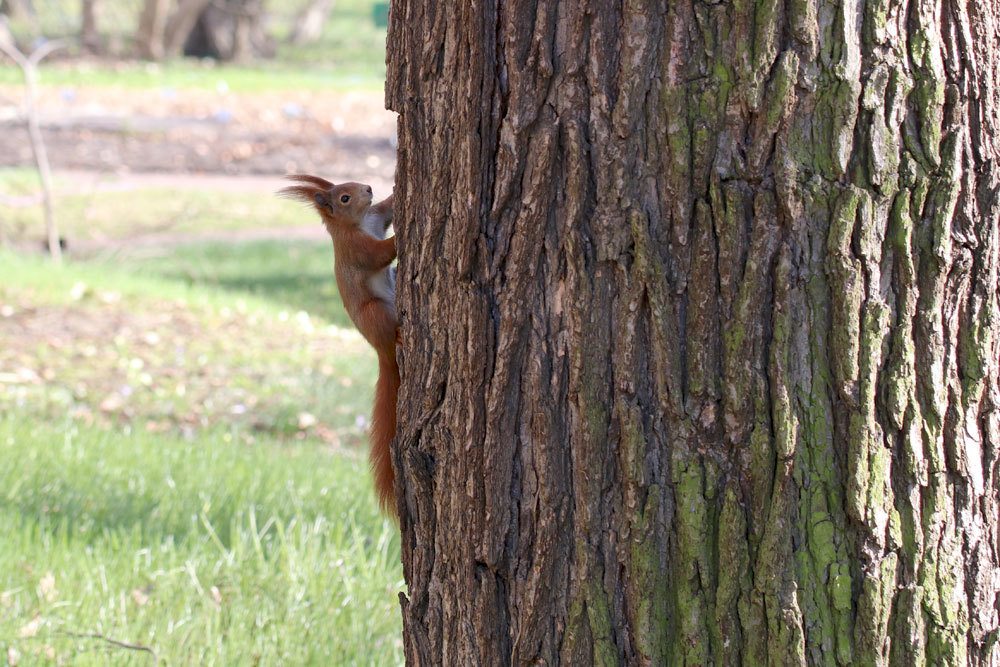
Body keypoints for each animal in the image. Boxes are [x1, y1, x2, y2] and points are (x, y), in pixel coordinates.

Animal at [278, 174, 398, 516]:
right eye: (344, 198)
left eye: (354, 183)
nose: (369, 188)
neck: (358, 223)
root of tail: (382, 353)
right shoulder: (356, 248)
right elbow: (380, 254)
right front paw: (399, 240)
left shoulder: (377, 218)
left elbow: (388, 209)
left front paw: (397, 190)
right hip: (375, 313)